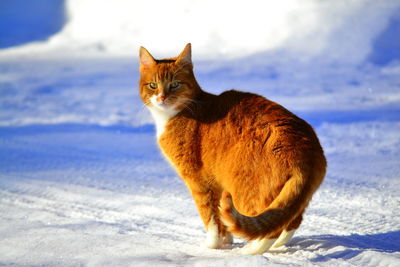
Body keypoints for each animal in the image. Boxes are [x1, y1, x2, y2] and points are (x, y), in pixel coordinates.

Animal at [139, 44, 326, 255]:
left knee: (269, 228)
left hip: (245, 192)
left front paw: (212, 245)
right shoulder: (217, 184)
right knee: (289, 221)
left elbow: (210, 218)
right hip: (291, 197)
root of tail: (304, 147)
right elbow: (222, 221)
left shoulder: (199, 182)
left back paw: (250, 251)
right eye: (152, 85)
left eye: (175, 84)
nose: (162, 97)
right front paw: (226, 240)